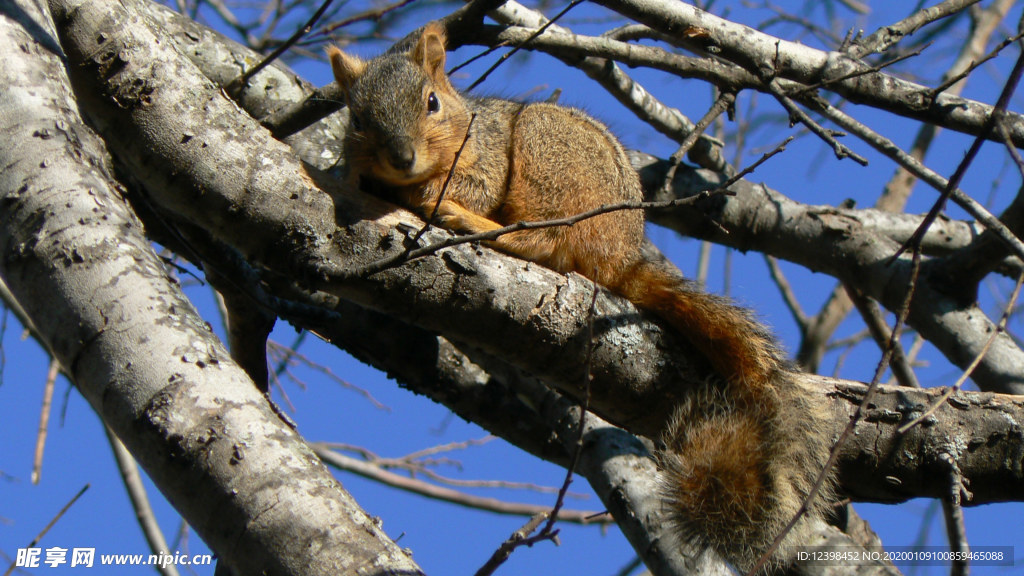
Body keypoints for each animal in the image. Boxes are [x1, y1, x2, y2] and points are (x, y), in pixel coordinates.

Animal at [327, 21, 831, 569]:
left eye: (432, 102)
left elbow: (472, 188)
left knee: (543, 240)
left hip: (547, 156)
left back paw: (472, 222)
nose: (401, 159)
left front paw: (421, 194)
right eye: (357, 118)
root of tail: (619, 255)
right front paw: (358, 174)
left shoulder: (488, 157)